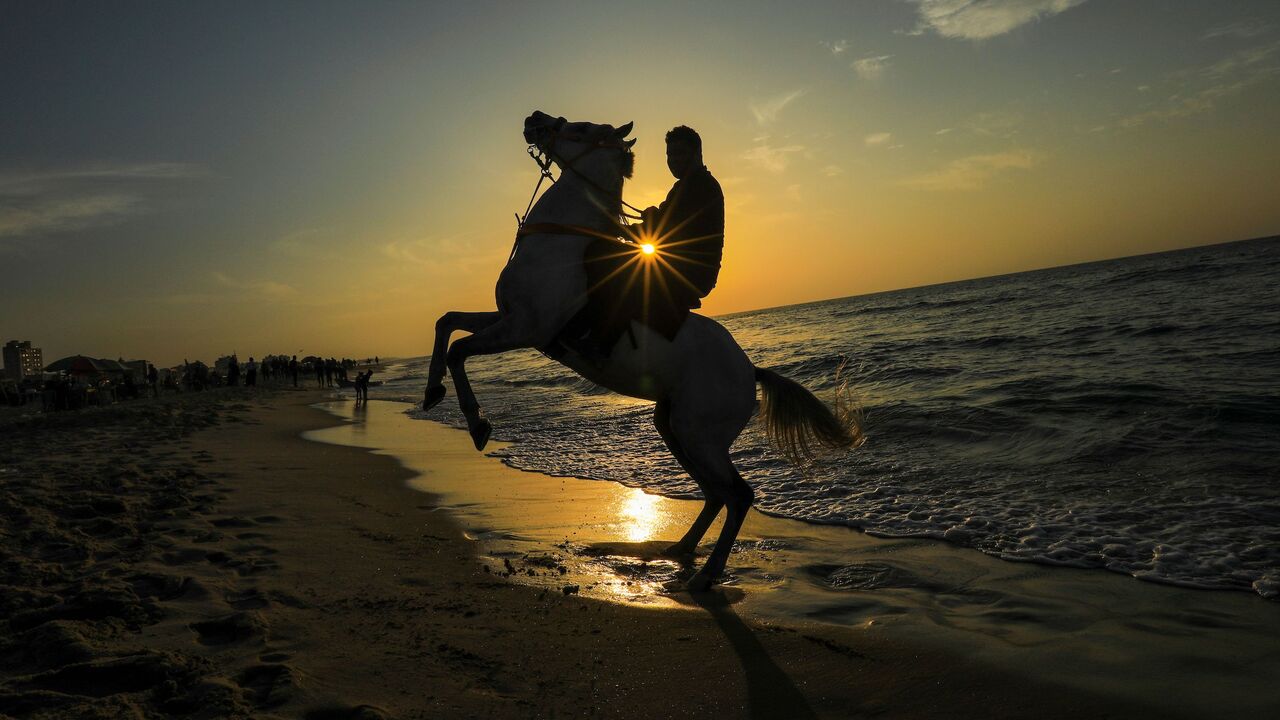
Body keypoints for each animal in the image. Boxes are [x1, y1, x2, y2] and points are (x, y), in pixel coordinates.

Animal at [424, 110, 865, 589]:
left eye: (579, 127)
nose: (534, 119)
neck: (559, 239)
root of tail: (751, 372)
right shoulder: (507, 319)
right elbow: (446, 323)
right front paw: (432, 393)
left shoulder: (526, 328)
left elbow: (459, 351)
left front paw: (478, 425)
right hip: (673, 427)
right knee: (716, 493)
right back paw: (681, 551)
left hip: (699, 433)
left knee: (739, 494)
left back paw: (706, 575)